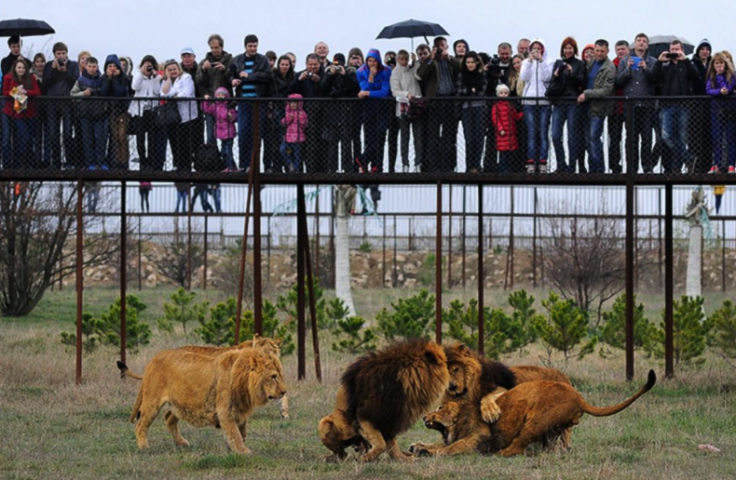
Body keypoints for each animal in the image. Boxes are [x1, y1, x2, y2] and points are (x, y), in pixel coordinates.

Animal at [126, 344, 288, 454]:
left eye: (280, 375)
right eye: (273, 377)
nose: (284, 391)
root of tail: (153, 359)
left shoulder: (240, 412)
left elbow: (242, 433)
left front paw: (233, 450)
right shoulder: (226, 411)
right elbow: (235, 434)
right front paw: (243, 452)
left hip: (180, 404)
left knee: (168, 417)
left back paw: (181, 443)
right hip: (152, 403)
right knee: (140, 426)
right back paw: (144, 447)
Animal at [320, 340, 452, 464]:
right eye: (447, 368)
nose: (453, 385)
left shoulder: (391, 420)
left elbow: (391, 446)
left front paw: (406, 459)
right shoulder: (365, 415)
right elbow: (381, 444)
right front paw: (364, 459)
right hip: (324, 423)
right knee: (342, 454)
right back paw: (332, 458)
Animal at [412, 372, 660, 458]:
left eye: (440, 408)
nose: (424, 417)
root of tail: (578, 397)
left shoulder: (477, 439)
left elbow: (451, 448)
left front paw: (427, 451)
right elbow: (438, 444)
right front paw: (418, 446)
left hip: (535, 421)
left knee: (514, 449)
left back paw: (497, 454)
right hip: (551, 431)